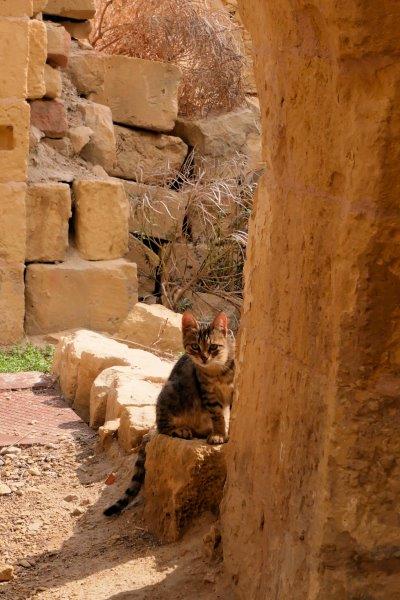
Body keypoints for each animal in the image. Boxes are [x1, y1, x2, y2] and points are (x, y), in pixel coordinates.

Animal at [104, 310, 234, 516]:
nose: (204, 358)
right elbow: (218, 415)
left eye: (213, 347)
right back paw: (182, 430)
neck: (217, 370)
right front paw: (220, 434)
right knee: (164, 427)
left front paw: (223, 433)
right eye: (195, 347)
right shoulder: (208, 393)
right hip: (171, 393)